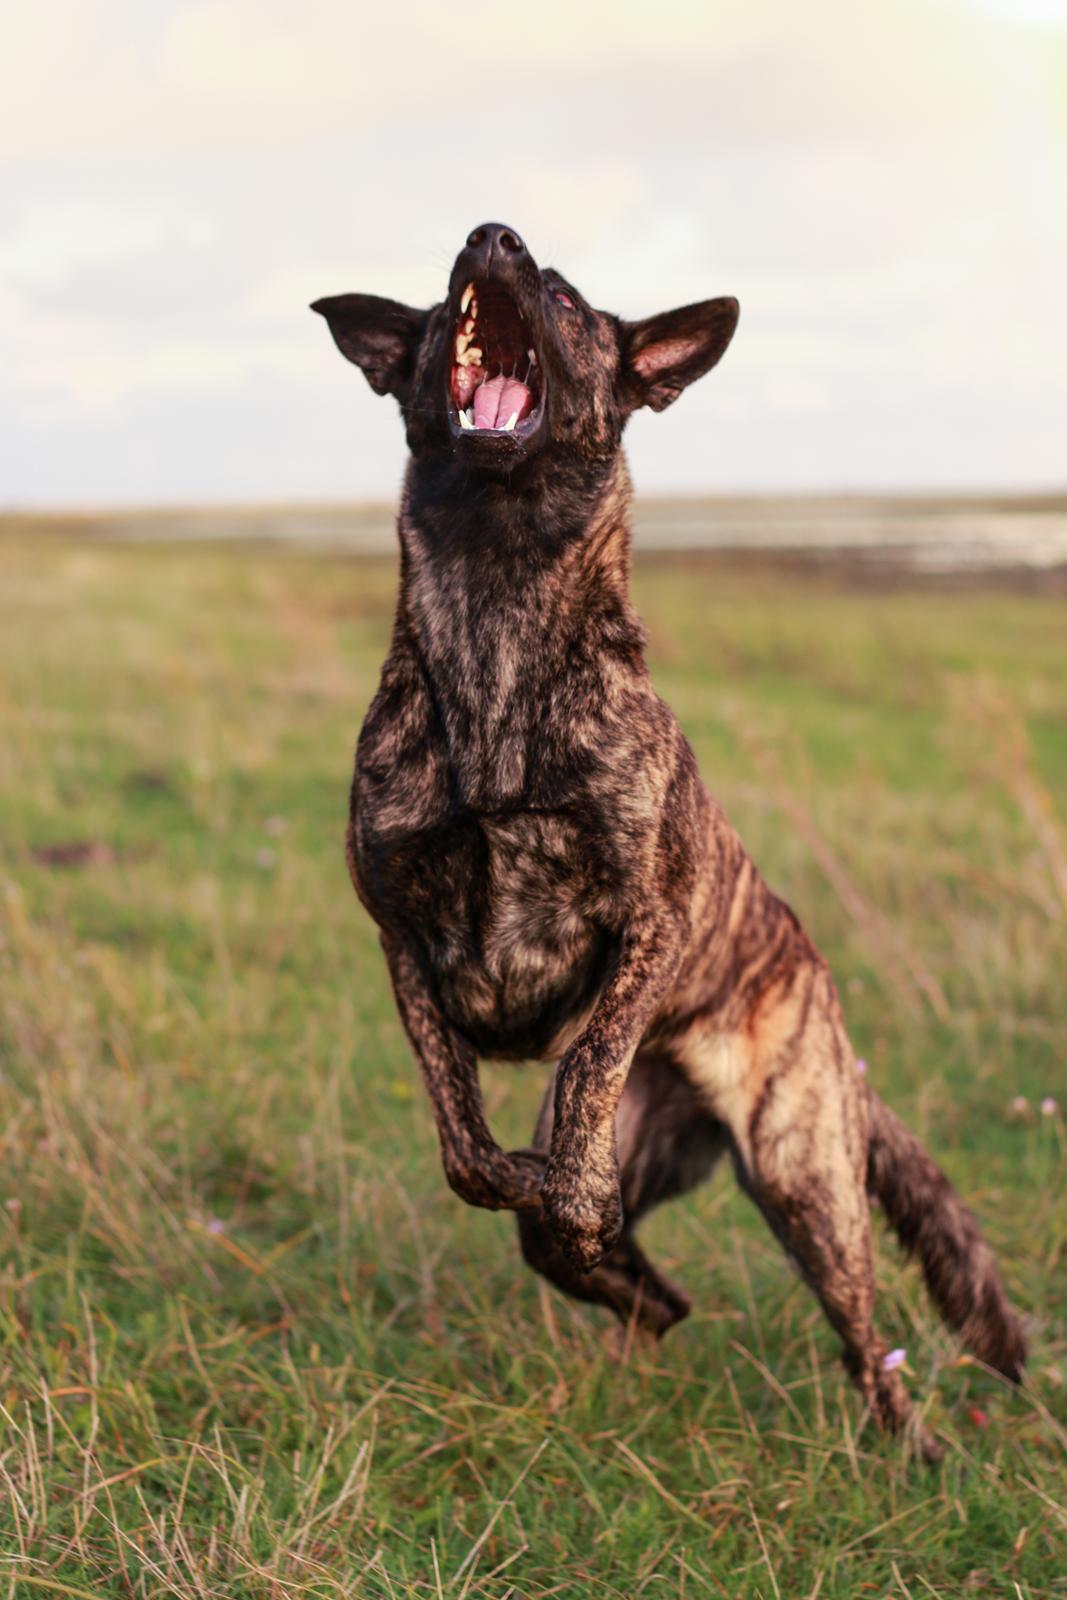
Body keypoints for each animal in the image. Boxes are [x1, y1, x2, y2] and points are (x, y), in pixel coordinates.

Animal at [315, 222, 1023, 1465]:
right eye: (443, 294)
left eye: (561, 296)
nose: (491, 235)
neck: (498, 607)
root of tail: (826, 1016)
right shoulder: (399, 934)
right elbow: (464, 1144)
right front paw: (518, 1175)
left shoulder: (650, 921)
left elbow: (589, 1059)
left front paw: (561, 1182)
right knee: (612, 1265)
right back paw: (630, 1286)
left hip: (803, 1176)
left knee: (860, 1334)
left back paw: (912, 1453)